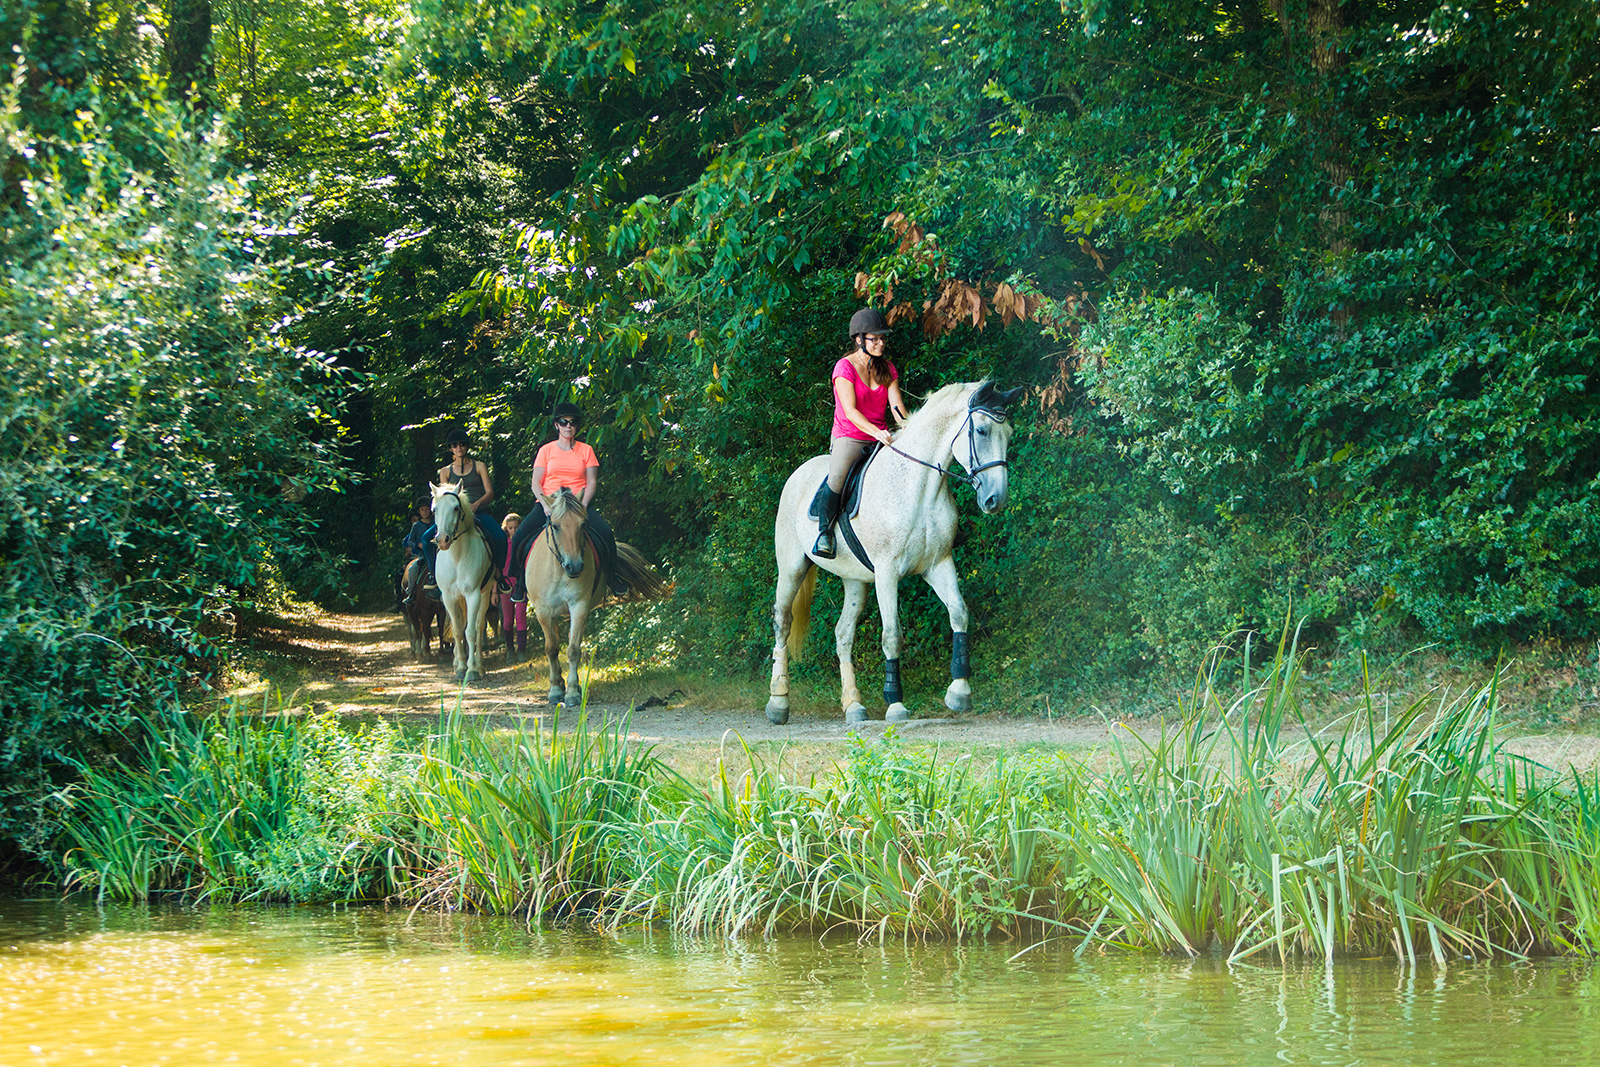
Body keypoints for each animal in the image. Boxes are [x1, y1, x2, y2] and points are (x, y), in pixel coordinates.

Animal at [432, 483, 492, 684]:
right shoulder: (449, 597)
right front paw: (459, 668)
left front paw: (471, 670)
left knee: (479, 626)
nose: (443, 540)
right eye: (434, 509)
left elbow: (471, 631)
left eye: (456, 508)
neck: (456, 557)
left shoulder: (473, 595)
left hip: (485, 594)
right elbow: (457, 630)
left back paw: (480, 666)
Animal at [764, 377, 1017, 726]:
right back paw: (778, 702)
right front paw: (895, 704)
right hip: (792, 567)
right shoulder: (887, 573)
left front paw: (959, 692)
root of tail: (798, 474)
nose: (996, 499)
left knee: (843, 634)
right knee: (783, 621)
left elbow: (959, 612)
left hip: (855, 580)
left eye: (1009, 433)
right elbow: (892, 634)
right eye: (980, 431)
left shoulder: (938, 564)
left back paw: (854, 706)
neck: (919, 487)